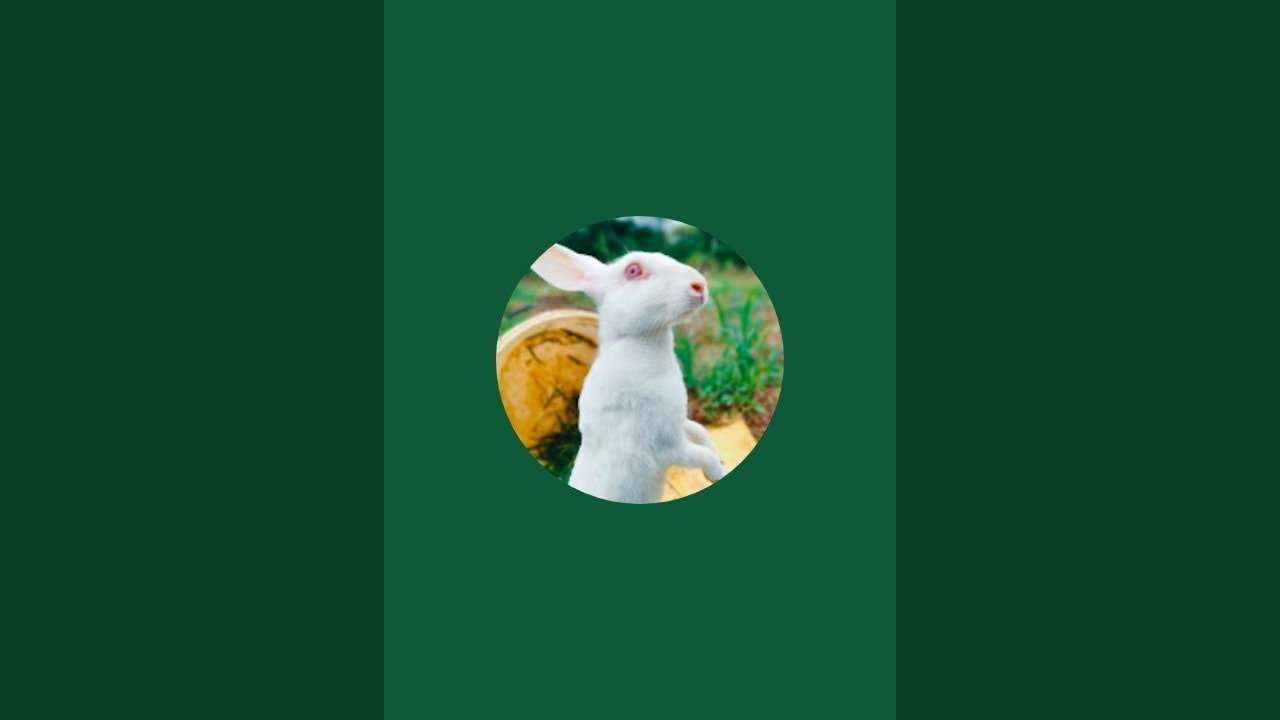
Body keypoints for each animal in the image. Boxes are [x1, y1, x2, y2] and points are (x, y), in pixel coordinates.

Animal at [531, 243, 726, 503]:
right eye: (633, 270)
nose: (699, 285)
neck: (639, 341)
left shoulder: (677, 422)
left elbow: (699, 430)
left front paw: (720, 459)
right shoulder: (667, 445)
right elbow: (702, 455)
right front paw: (719, 473)